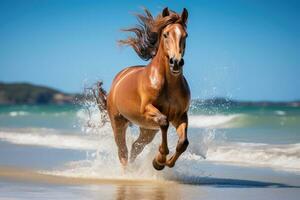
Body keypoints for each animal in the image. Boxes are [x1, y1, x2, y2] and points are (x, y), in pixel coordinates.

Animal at [100, 7, 190, 170]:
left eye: (185, 35)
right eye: (166, 34)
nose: (176, 62)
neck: (169, 86)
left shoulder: (181, 115)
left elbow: (183, 143)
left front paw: (166, 162)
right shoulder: (147, 110)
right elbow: (164, 121)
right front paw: (159, 160)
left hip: (147, 130)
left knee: (136, 147)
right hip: (118, 123)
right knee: (122, 151)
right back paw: (127, 171)